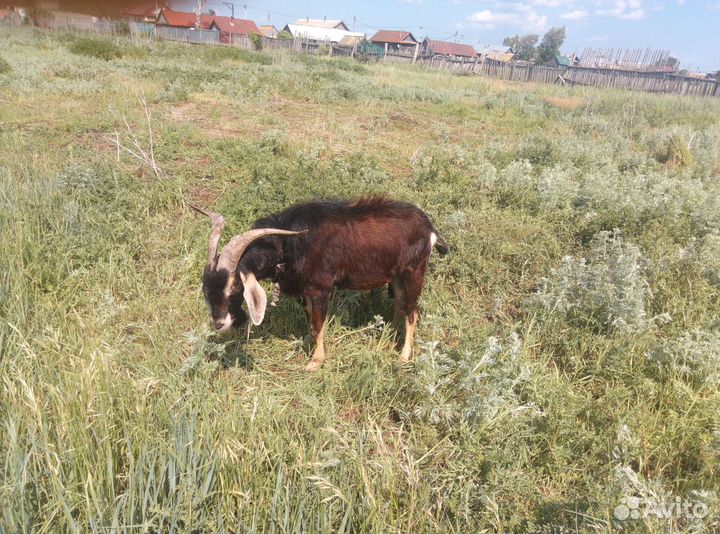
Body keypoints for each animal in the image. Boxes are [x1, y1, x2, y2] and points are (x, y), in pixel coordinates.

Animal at [191, 196, 448, 371]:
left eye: (235, 286)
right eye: (206, 288)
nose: (219, 323)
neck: (288, 245)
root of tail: (429, 228)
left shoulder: (322, 289)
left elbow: (317, 325)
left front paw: (315, 362)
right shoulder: (305, 291)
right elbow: (310, 321)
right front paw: (307, 344)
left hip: (413, 273)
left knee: (412, 312)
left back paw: (404, 356)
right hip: (396, 276)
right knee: (400, 304)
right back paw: (390, 331)